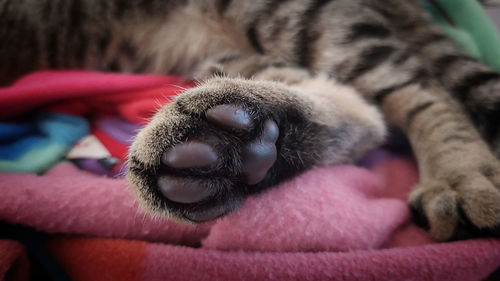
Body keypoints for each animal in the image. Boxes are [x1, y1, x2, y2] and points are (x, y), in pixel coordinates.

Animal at [0, 0, 500, 241]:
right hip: (216, 54)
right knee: (363, 114)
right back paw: (238, 148)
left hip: (293, 14)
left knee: (421, 91)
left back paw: (459, 175)